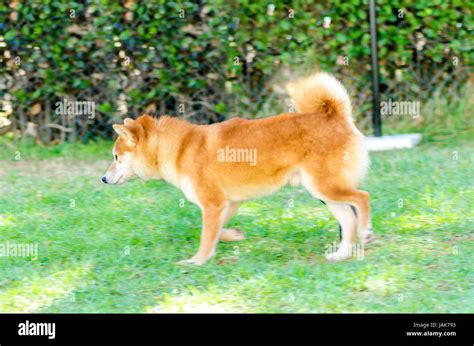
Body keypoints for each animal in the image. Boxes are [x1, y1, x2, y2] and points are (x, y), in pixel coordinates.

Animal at [102, 73, 372, 264]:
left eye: (116, 156)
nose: (103, 178)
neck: (180, 148)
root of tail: (336, 117)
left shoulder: (212, 204)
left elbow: (206, 236)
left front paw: (197, 261)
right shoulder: (228, 203)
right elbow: (217, 231)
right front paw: (234, 236)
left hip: (325, 186)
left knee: (362, 198)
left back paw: (366, 231)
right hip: (322, 192)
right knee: (349, 220)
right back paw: (341, 254)